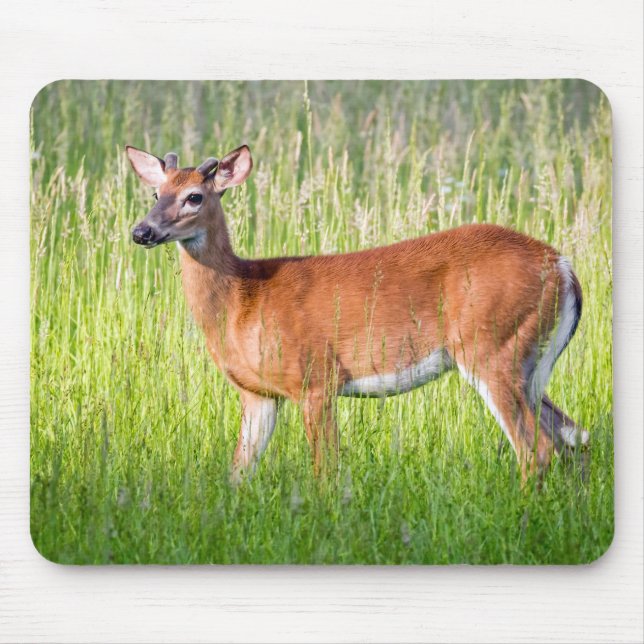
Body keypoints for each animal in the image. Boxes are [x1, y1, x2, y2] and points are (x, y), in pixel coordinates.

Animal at [126, 143, 589, 485]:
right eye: (155, 194)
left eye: (194, 196)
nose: (141, 231)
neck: (244, 299)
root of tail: (562, 266)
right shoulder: (258, 395)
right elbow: (239, 472)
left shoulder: (314, 379)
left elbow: (326, 472)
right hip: (529, 363)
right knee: (574, 438)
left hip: (491, 347)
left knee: (536, 449)